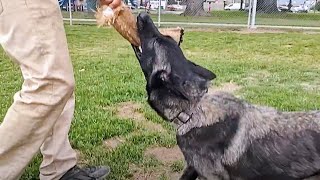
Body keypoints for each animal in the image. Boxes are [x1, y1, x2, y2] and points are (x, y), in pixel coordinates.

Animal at [131, 12, 320, 180]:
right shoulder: (193, 166)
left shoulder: (212, 176)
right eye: (165, 38)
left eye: (156, 41)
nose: (144, 14)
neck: (193, 110)